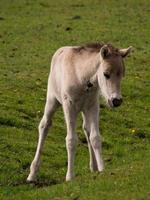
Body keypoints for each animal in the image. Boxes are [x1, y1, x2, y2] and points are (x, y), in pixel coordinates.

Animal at [26, 43, 132, 182]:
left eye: (122, 74)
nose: (116, 101)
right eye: (106, 74)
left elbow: (95, 137)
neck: (82, 78)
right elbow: (71, 140)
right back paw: (32, 174)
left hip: (84, 110)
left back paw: (94, 167)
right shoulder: (69, 106)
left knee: (86, 129)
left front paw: (102, 169)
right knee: (45, 125)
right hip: (52, 101)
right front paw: (70, 176)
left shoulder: (92, 106)